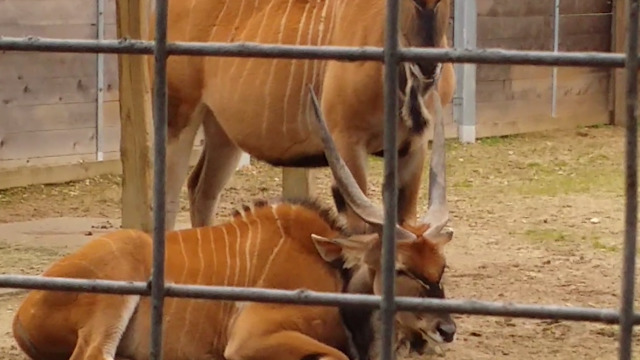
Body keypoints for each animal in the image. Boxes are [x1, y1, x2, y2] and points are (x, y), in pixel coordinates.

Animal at [12, 86, 458, 358]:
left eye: (440, 267)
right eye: (400, 268)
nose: (447, 329)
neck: (337, 280)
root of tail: (22, 313)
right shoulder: (251, 339)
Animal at [151, 0, 456, 233]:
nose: (427, 65)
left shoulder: (414, 146)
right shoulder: (347, 142)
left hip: (222, 133)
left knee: (201, 189)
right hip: (179, 118)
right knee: (167, 200)